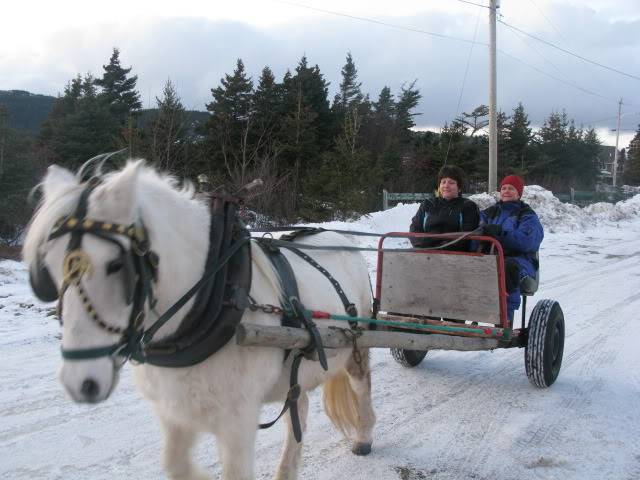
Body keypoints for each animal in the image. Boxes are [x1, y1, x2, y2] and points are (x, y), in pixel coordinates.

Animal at [23, 162, 376, 480]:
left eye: (115, 265)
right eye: (49, 267)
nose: (80, 383)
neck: (215, 296)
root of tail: (340, 239)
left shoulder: (237, 420)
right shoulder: (174, 410)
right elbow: (174, 463)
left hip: (357, 346)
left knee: (361, 387)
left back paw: (364, 436)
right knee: (297, 408)